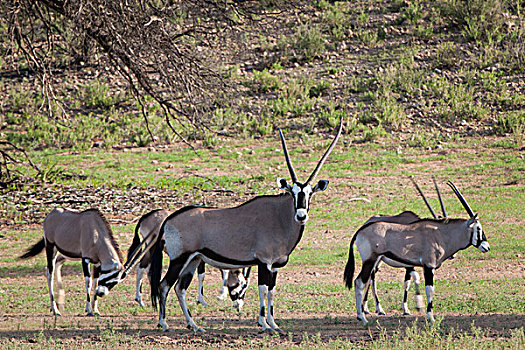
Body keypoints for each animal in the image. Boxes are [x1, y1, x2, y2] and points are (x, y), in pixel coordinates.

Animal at [148, 121, 344, 332]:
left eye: (310, 193)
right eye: (292, 192)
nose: (301, 216)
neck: (280, 216)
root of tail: (169, 220)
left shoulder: (275, 267)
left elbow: (272, 291)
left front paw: (274, 324)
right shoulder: (264, 262)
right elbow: (263, 290)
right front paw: (263, 324)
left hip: (193, 260)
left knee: (179, 288)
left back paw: (194, 325)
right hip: (179, 259)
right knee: (164, 285)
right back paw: (164, 323)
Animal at [344, 180, 488, 326]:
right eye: (478, 228)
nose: (486, 247)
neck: (441, 234)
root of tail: (360, 230)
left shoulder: (415, 265)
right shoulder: (428, 266)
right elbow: (429, 290)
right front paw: (430, 317)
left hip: (374, 262)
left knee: (365, 281)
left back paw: (364, 313)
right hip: (370, 260)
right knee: (360, 282)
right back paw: (363, 318)